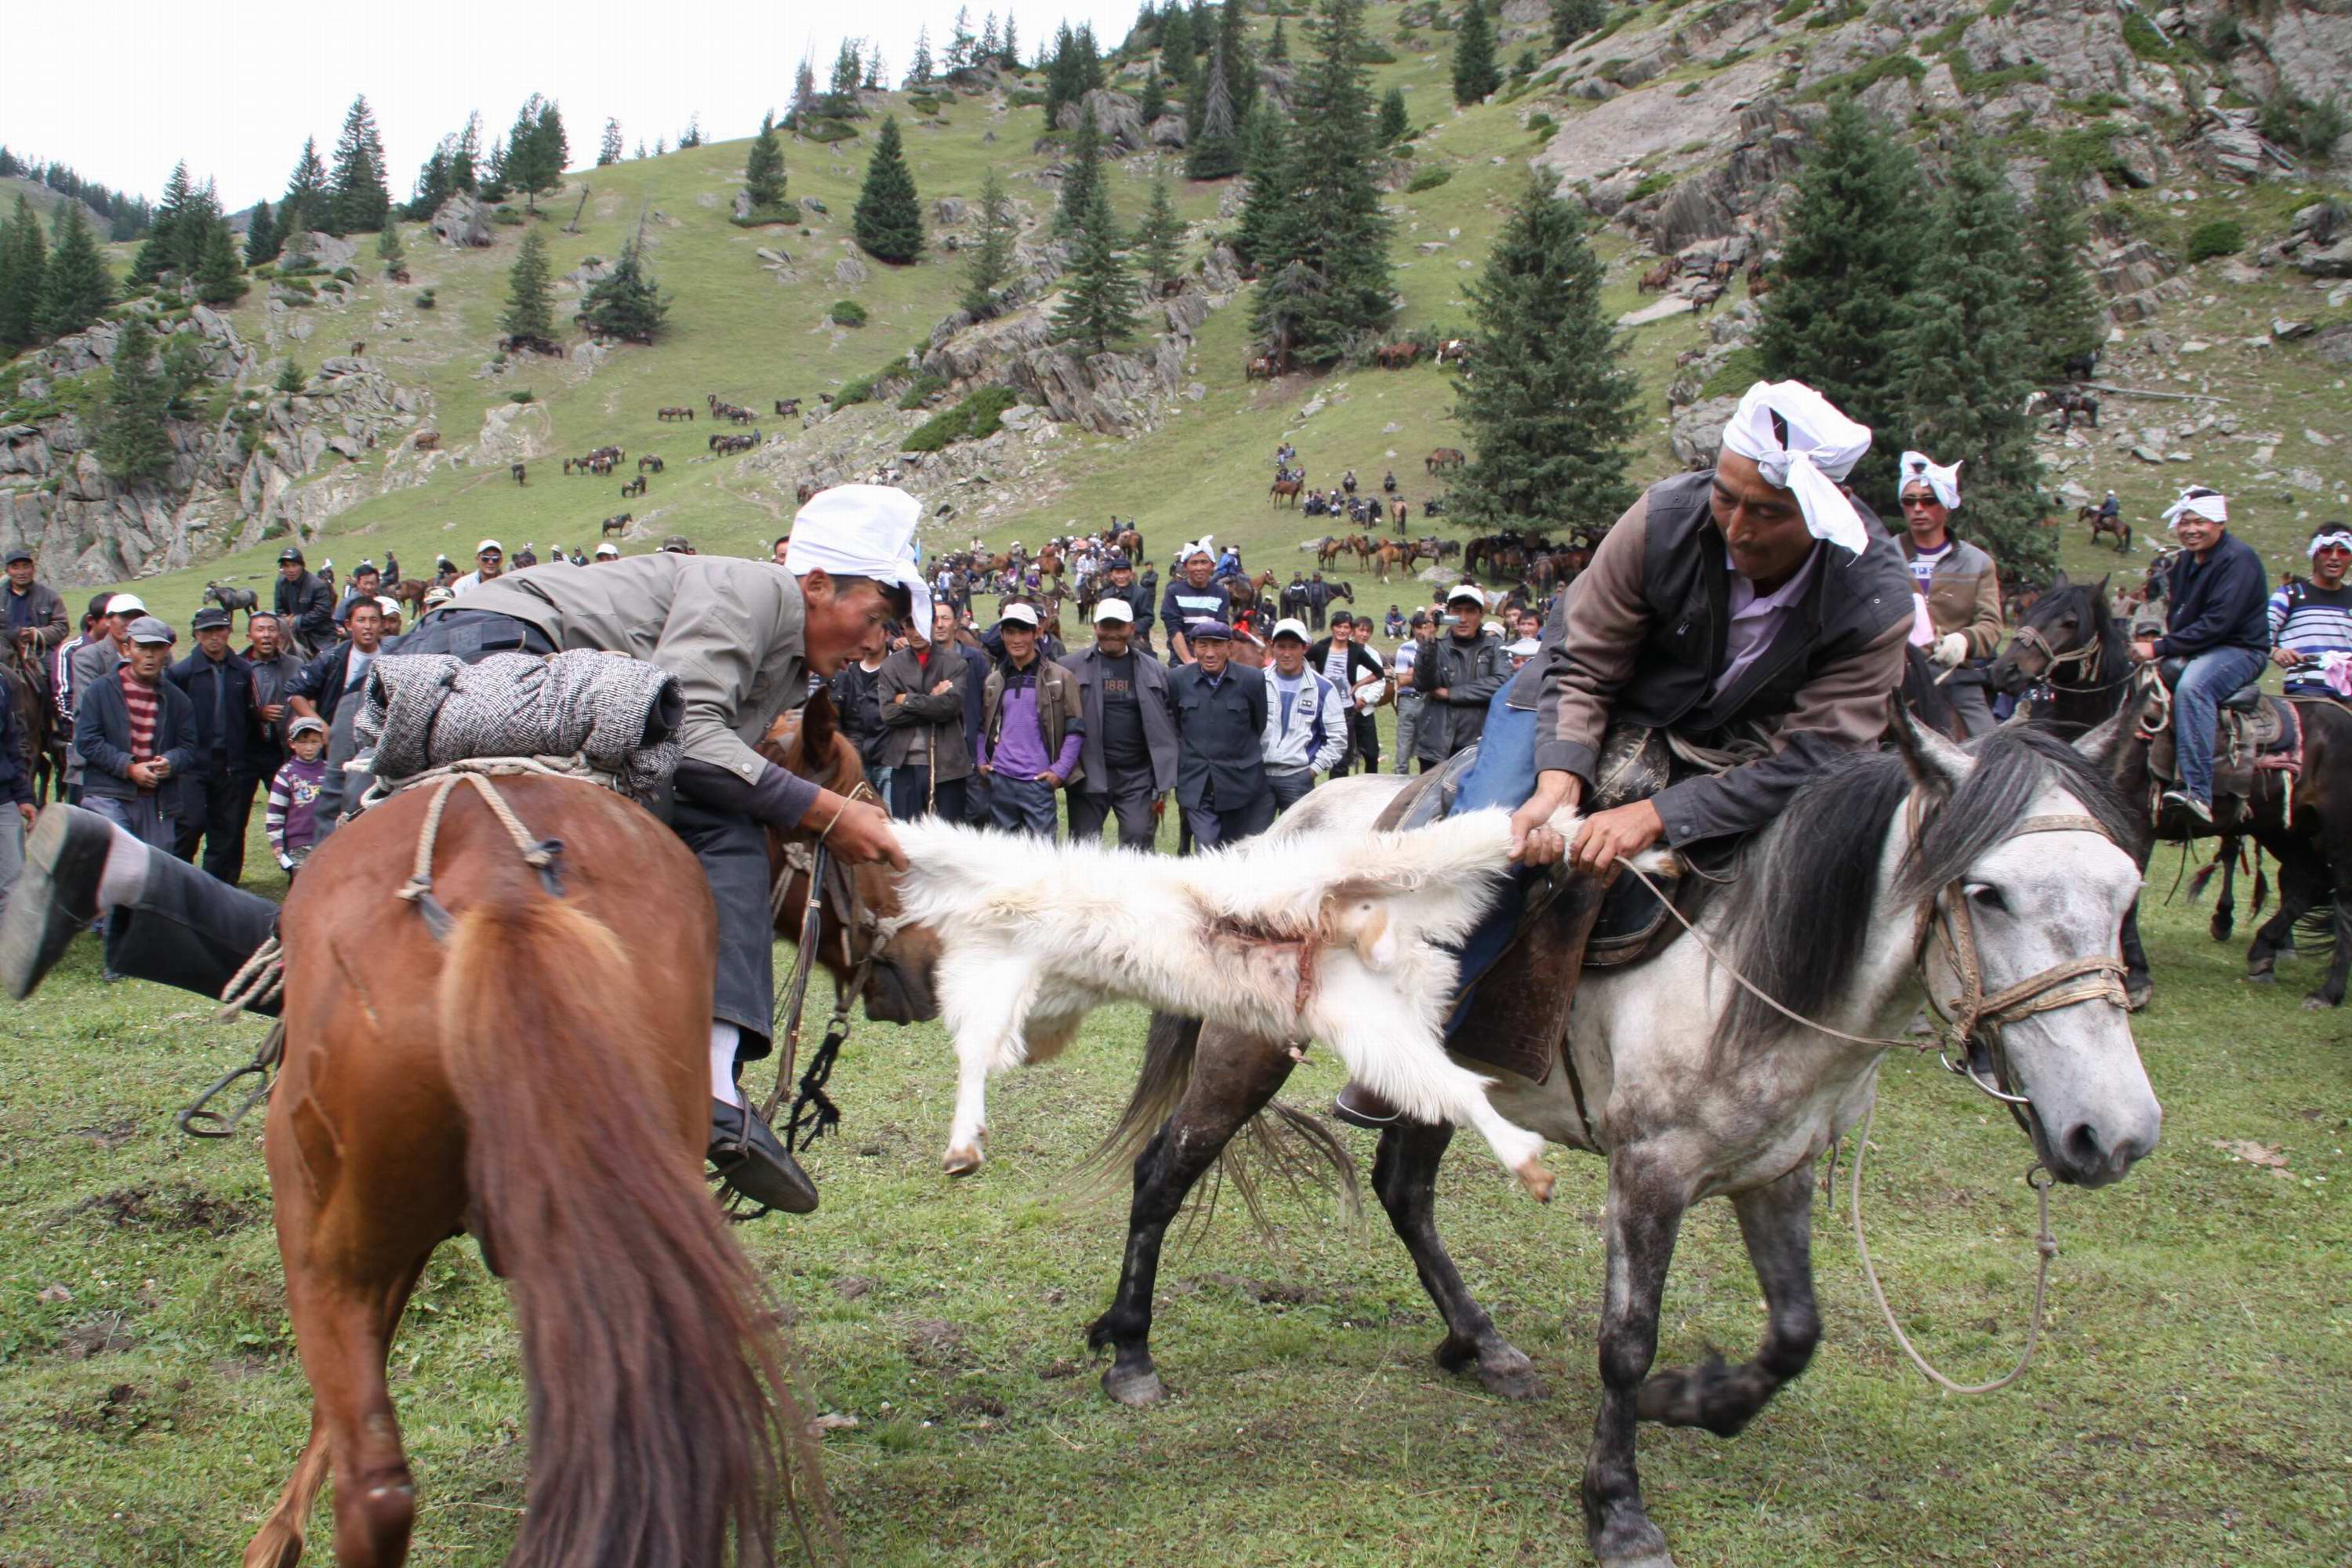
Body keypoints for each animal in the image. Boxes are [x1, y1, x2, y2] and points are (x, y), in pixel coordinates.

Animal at [1082, 710, 2154, 1568]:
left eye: (2127, 887)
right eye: (1988, 891)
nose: (2116, 1133)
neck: (1750, 958)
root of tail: (1291, 820)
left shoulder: (1778, 1170)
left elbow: (1796, 1331)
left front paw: (1698, 1397)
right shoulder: (1652, 1172)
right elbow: (1627, 1340)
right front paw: (1618, 1507)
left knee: (1402, 1189)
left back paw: (1482, 1342)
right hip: (1248, 1047)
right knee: (1165, 1170)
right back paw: (1131, 1353)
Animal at [1994, 583, 2352, 1011]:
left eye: (2069, 621)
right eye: (2026, 612)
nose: (2005, 671)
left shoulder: (2135, 827)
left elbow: (2128, 894)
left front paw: (2137, 978)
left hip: (2336, 829)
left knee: (2341, 895)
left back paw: (2328, 991)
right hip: (2284, 828)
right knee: (2308, 882)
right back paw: (2264, 952)